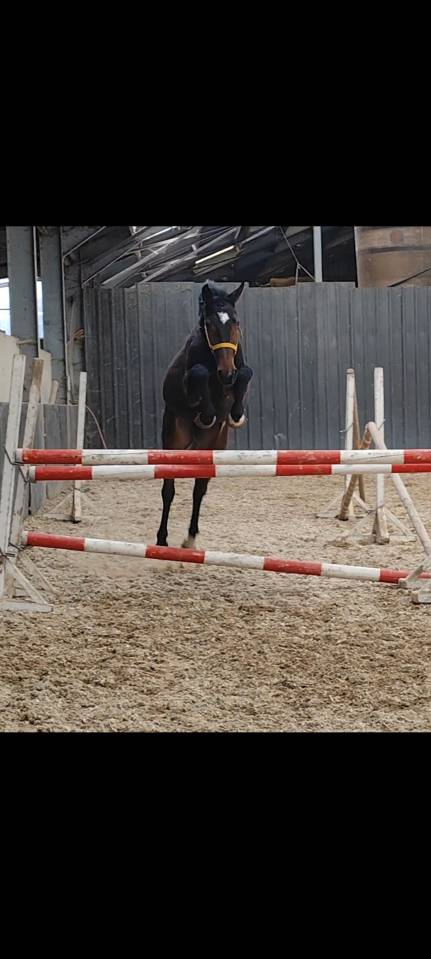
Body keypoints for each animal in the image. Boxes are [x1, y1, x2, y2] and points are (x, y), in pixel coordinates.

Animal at [156, 281, 253, 548]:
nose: (226, 374)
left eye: (236, 322)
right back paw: (162, 539)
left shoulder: (237, 371)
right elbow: (198, 373)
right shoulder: (189, 383)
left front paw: (236, 415)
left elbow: (246, 373)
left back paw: (191, 538)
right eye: (210, 324)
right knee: (168, 489)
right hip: (174, 438)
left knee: (199, 488)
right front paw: (206, 412)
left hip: (212, 445)